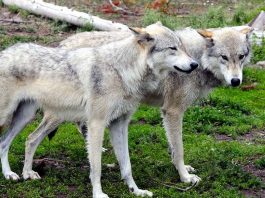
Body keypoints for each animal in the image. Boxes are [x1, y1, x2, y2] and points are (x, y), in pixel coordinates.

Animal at [0, 22, 196, 197]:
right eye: (172, 48)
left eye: (182, 47)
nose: (195, 64)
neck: (122, 72)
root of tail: (5, 52)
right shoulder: (96, 124)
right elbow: (96, 167)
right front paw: (99, 194)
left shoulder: (120, 125)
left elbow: (127, 165)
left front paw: (136, 191)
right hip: (14, 117)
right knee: (8, 140)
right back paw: (10, 174)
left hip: (27, 116)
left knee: (22, 140)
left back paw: (24, 173)